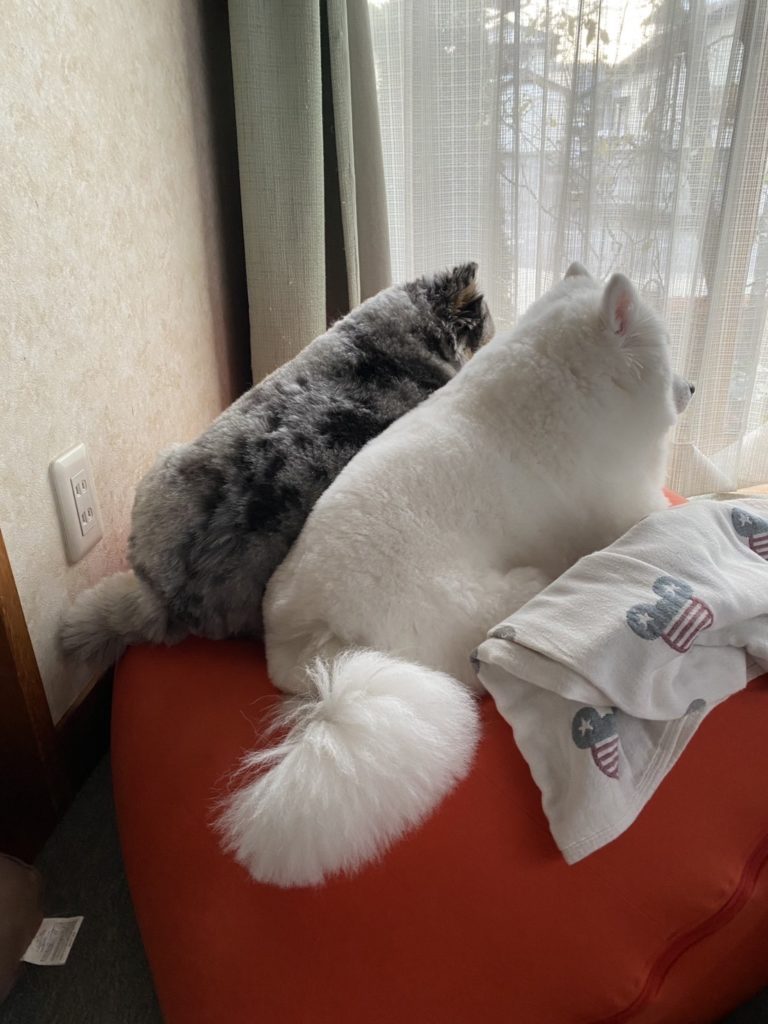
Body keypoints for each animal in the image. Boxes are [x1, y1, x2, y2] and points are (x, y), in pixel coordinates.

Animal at [218, 263, 695, 887]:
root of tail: (310, 646)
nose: (693, 388)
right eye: (665, 353)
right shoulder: (626, 505)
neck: (569, 377)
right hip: (500, 597)